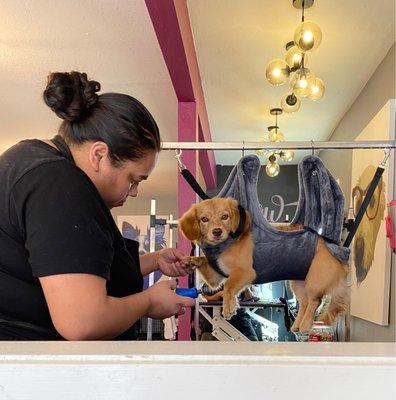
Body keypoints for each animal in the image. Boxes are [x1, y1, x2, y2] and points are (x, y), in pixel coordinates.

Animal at [180, 197, 350, 332]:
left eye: (225, 217)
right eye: (204, 219)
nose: (217, 232)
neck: (224, 245)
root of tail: (335, 247)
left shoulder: (245, 273)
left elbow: (228, 286)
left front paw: (228, 308)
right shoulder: (215, 277)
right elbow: (205, 264)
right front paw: (192, 260)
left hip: (314, 282)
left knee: (315, 302)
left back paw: (306, 325)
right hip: (298, 284)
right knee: (304, 303)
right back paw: (297, 325)